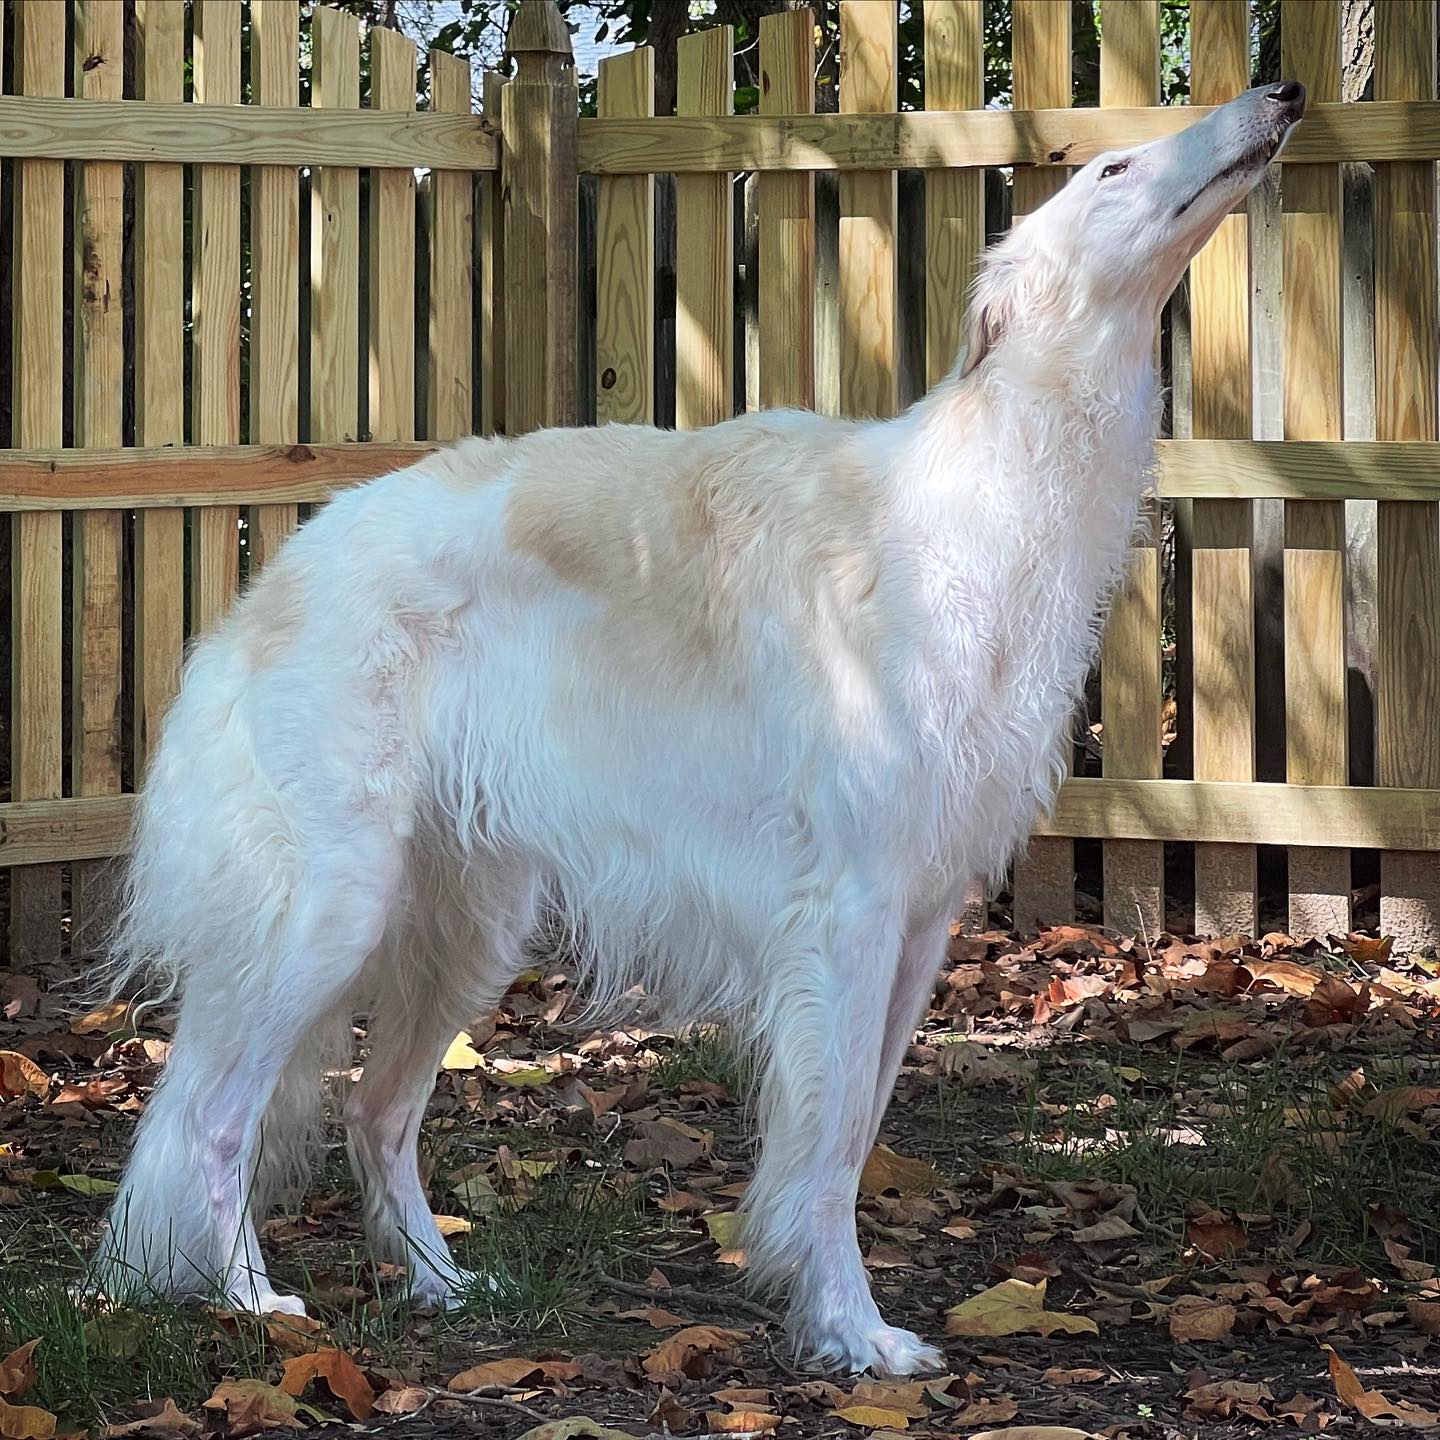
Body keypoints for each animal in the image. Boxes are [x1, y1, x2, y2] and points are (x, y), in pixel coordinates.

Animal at [92, 78, 1307, 1370]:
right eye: (1111, 171)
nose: (1278, 93)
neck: (972, 497)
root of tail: (264, 590)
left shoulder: (923, 915)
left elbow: (853, 1140)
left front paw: (829, 1316)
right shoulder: (851, 908)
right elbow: (829, 1149)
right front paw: (855, 1335)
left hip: (467, 917)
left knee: (373, 1111)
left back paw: (438, 1280)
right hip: (330, 904)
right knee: (214, 1114)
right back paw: (247, 1299)